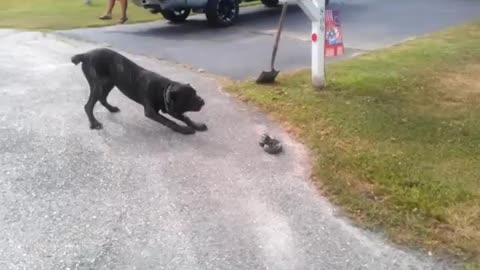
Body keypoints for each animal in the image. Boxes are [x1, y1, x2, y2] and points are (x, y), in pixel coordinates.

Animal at [71, 48, 206, 135]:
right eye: (188, 98)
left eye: (195, 93)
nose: (202, 101)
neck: (163, 89)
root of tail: (85, 55)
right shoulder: (152, 112)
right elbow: (170, 122)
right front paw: (183, 130)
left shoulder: (172, 109)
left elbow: (185, 118)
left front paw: (197, 125)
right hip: (97, 86)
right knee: (88, 106)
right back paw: (94, 123)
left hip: (109, 84)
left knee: (102, 98)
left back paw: (111, 109)